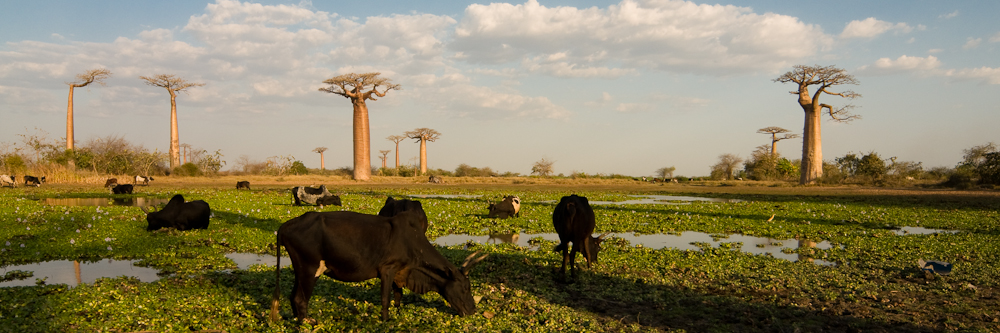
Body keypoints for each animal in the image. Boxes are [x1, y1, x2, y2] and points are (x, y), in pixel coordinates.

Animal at [266, 210, 484, 322]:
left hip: (300, 270)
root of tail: (286, 225)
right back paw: (307, 322)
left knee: (293, 297)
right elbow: (385, 299)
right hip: (310, 269)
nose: (473, 310)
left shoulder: (399, 273)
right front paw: (386, 321)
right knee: (300, 299)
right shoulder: (387, 269)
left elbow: (398, 296)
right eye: (465, 288)